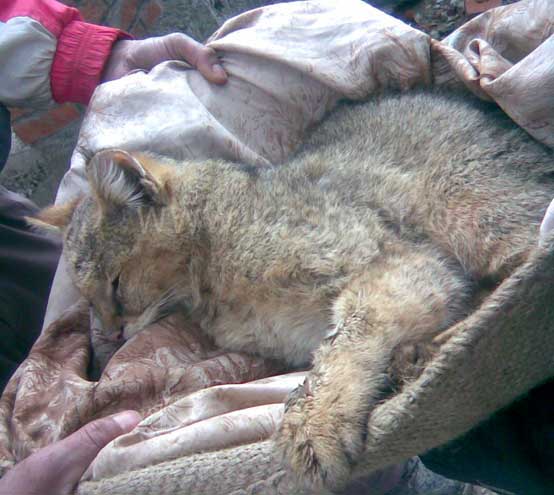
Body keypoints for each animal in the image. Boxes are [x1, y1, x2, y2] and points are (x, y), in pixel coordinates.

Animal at [33, 92, 552, 488]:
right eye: (89, 298)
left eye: (116, 286)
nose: (111, 336)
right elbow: (326, 351)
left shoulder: (404, 264)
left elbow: (342, 345)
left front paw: (313, 422)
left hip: (477, 217)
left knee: (521, 266)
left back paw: (427, 353)